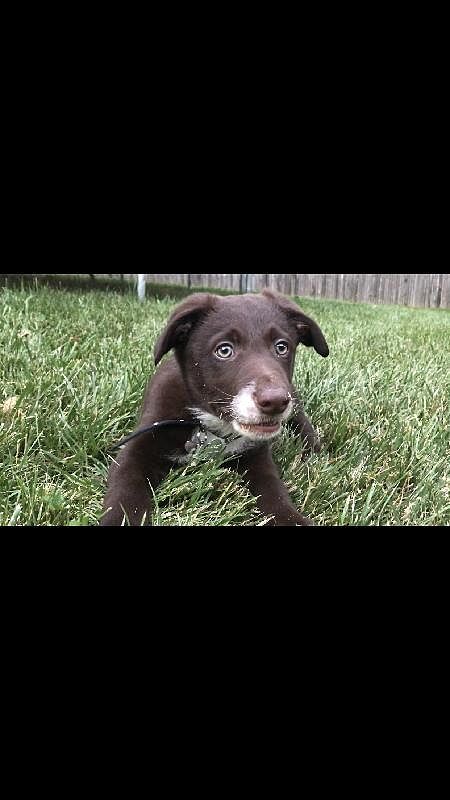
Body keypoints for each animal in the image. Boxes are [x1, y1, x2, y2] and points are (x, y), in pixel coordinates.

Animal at [100, 288, 329, 526]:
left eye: (281, 347)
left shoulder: (256, 454)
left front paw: (291, 518)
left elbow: (273, 490)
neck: (213, 426)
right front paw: (120, 519)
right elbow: (126, 491)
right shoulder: (137, 447)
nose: (275, 401)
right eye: (224, 350)